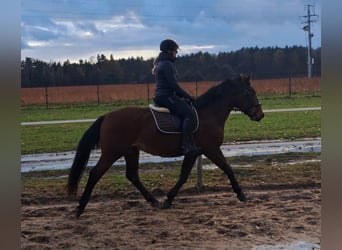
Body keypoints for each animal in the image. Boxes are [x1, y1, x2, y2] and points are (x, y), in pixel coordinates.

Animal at [67, 73, 264, 217]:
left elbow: (184, 176)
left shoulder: (194, 153)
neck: (209, 113)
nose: (260, 114)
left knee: (132, 175)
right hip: (112, 152)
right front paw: (241, 194)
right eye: (250, 92)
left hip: (131, 151)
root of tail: (107, 116)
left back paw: (154, 201)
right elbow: (227, 168)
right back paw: (80, 208)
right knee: (95, 174)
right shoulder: (211, 149)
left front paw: (168, 199)